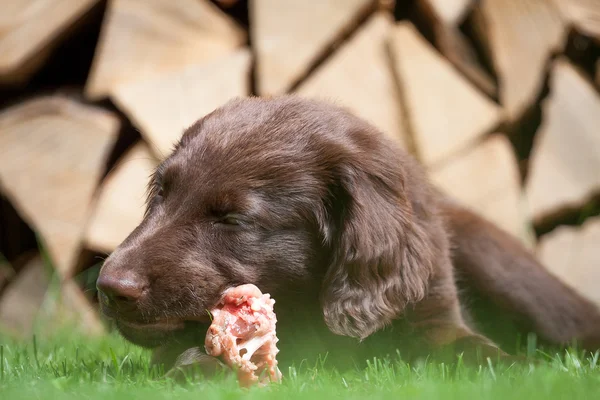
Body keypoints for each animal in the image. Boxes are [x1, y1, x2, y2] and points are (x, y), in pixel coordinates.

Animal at [96, 96, 600, 376]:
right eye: (161, 194)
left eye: (233, 219)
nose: (108, 287)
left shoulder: (435, 313)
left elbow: (471, 350)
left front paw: (519, 370)